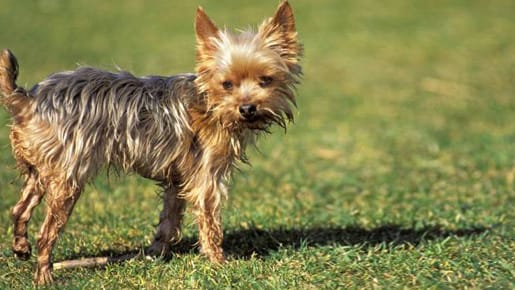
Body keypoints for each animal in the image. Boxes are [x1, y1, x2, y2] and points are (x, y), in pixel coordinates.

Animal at [0, 0, 302, 286]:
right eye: (227, 84)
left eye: (266, 80)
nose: (248, 108)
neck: (210, 105)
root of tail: (27, 98)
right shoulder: (206, 179)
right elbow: (209, 221)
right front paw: (219, 262)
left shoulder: (178, 180)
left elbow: (168, 220)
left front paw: (156, 253)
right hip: (68, 176)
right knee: (46, 232)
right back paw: (44, 275)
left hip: (42, 170)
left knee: (19, 209)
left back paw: (21, 248)